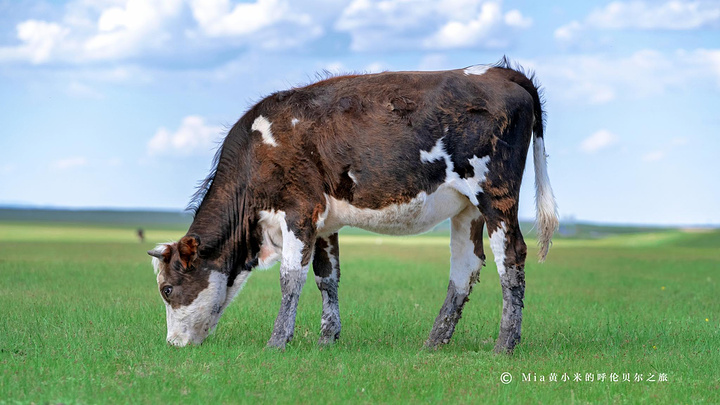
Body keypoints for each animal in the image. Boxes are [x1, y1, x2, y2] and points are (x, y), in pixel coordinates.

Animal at [149, 58, 560, 352]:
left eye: (167, 289)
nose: (172, 344)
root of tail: (500, 71)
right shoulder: (323, 223)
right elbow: (326, 278)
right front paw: (327, 338)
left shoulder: (298, 210)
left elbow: (290, 279)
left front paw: (277, 342)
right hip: (466, 208)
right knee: (465, 266)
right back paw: (434, 342)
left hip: (495, 193)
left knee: (512, 256)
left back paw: (504, 344)